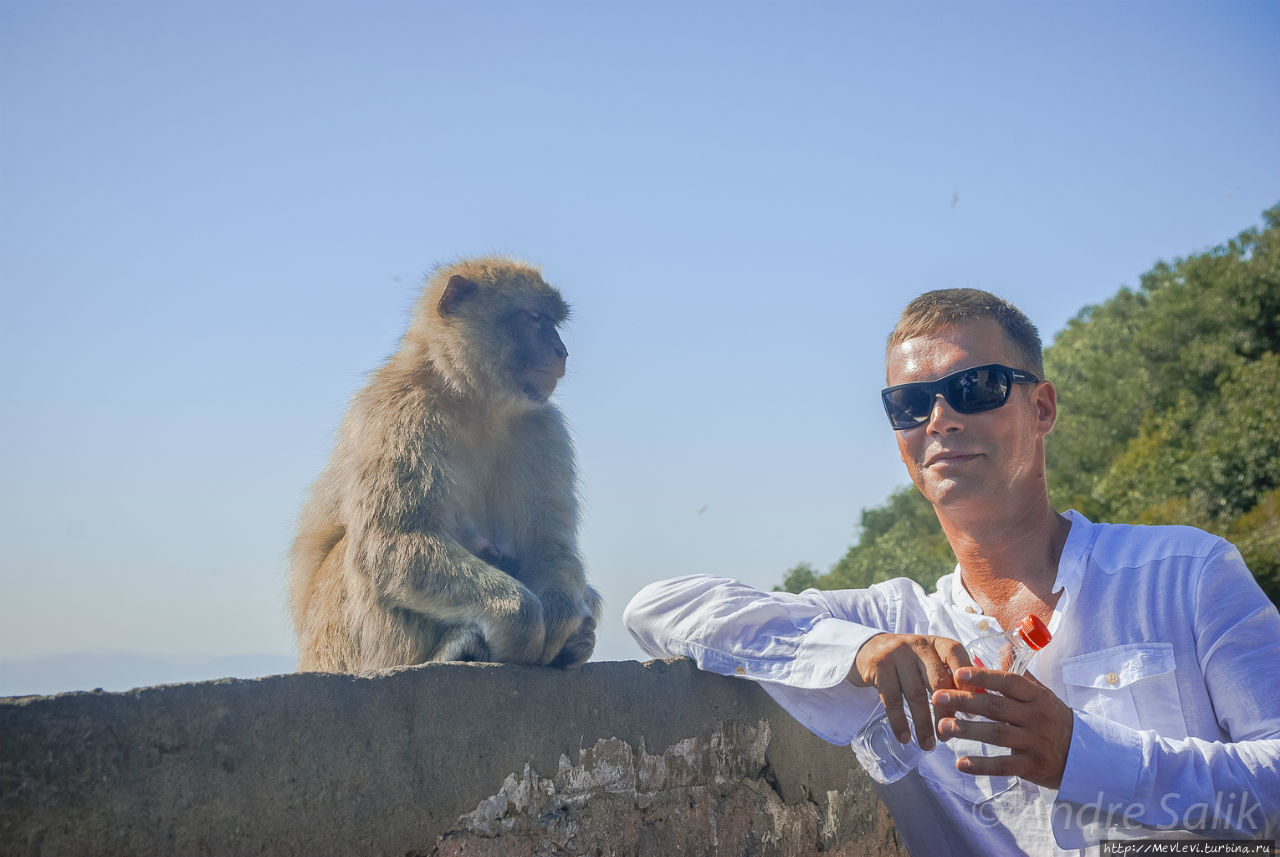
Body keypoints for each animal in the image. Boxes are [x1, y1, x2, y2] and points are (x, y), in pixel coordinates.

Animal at [293, 258, 601, 675]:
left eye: (552, 321)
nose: (560, 350)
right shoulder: (401, 415)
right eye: (533, 318)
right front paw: (524, 625)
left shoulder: (544, 427)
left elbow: (549, 544)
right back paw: (457, 650)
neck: (474, 403)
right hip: (334, 646)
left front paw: (559, 622)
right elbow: (395, 540)